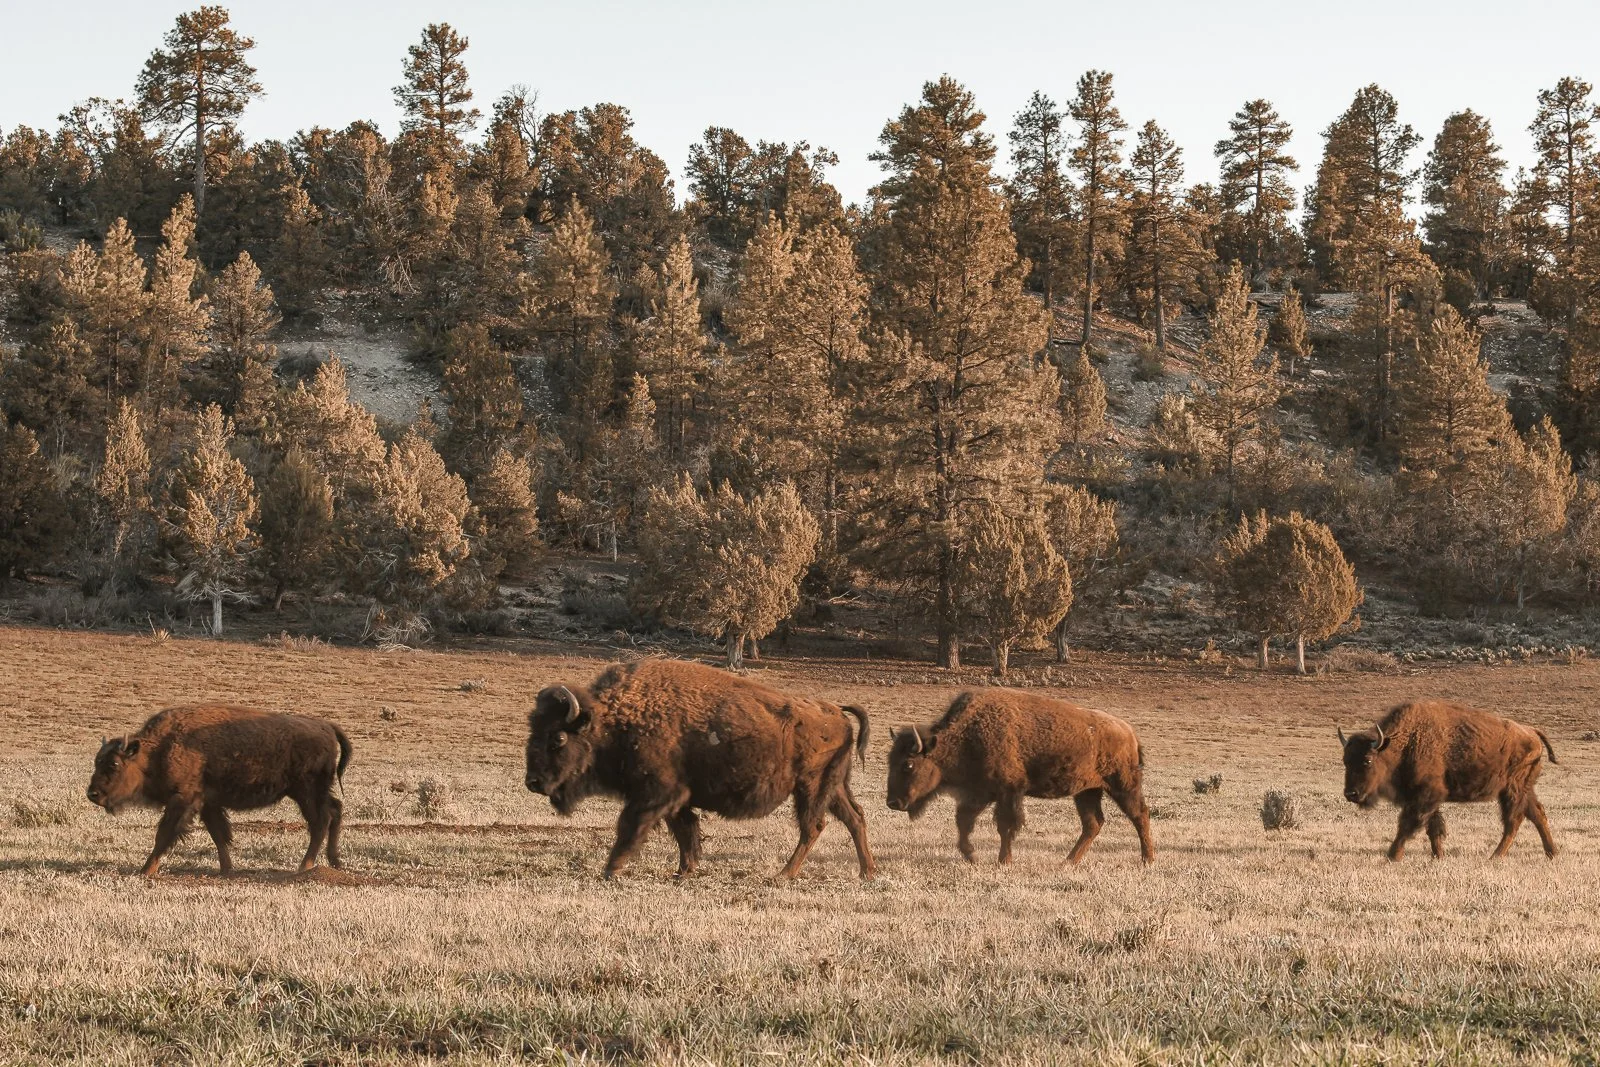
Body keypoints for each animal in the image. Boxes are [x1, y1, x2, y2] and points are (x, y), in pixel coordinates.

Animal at [87, 704, 352, 876]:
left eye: (114, 764)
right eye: (97, 761)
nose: (93, 794)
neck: (157, 750)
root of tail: (325, 726)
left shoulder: (183, 800)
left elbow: (164, 835)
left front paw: (145, 870)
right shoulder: (208, 803)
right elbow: (218, 835)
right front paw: (226, 869)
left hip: (306, 792)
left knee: (320, 821)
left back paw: (304, 867)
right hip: (313, 792)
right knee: (335, 811)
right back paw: (333, 862)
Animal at [525, 659, 876, 881]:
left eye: (557, 738)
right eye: (533, 729)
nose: (533, 782)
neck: (613, 720)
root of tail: (837, 712)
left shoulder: (656, 794)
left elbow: (631, 826)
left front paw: (612, 869)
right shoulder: (676, 798)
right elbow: (685, 830)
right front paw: (684, 871)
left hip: (810, 787)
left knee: (813, 826)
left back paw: (783, 875)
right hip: (835, 786)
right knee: (855, 818)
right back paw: (867, 873)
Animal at [887, 689, 1155, 864]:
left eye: (908, 765)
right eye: (890, 760)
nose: (893, 802)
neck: (966, 736)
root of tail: (1129, 732)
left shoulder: (1009, 791)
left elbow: (1006, 826)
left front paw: (1004, 861)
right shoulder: (979, 794)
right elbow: (963, 822)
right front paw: (971, 856)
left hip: (1123, 786)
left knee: (1139, 815)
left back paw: (1147, 860)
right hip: (1087, 791)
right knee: (1093, 823)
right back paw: (1067, 862)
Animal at [1339, 700, 1559, 860]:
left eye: (1367, 760)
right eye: (1345, 761)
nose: (1351, 793)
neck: (1406, 740)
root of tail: (1531, 731)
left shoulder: (1426, 796)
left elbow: (1407, 825)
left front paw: (1393, 856)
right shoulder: (1425, 797)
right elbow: (1433, 828)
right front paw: (1438, 856)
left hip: (1512, 790)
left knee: (1514, 820)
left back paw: (1495, 856)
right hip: (1524, 789)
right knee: (1537, 813)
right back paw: (1551, 853)